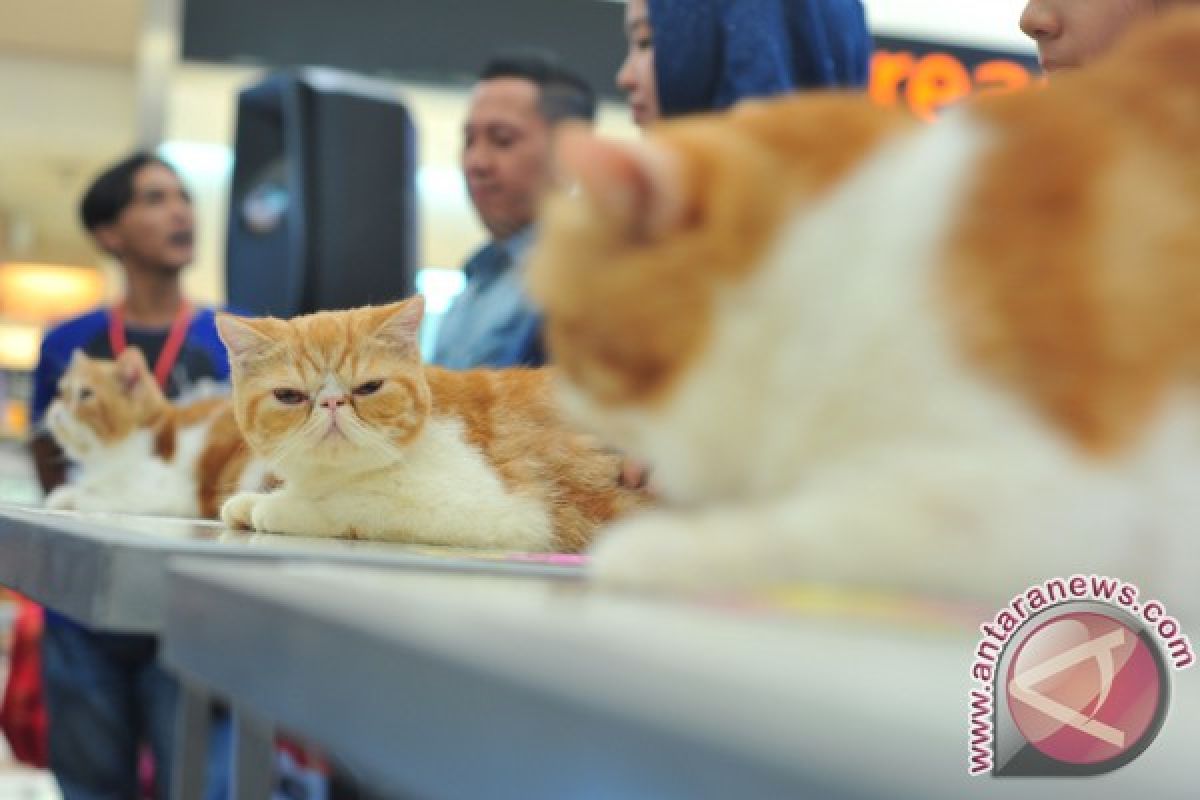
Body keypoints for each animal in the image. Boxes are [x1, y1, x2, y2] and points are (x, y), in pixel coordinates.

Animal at [44, 350, 270, 520]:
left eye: (85, 394)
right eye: (61, 392)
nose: (55, 412)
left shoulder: (164, 492)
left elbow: (98, 497)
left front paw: (77, 498)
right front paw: (63, 495)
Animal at [216, 297, 648, 554]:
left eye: (369, 388)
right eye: (289, 396)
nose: (332, 402)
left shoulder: (508, 513)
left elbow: (356, 504)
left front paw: (279, 506)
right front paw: (252, 501)